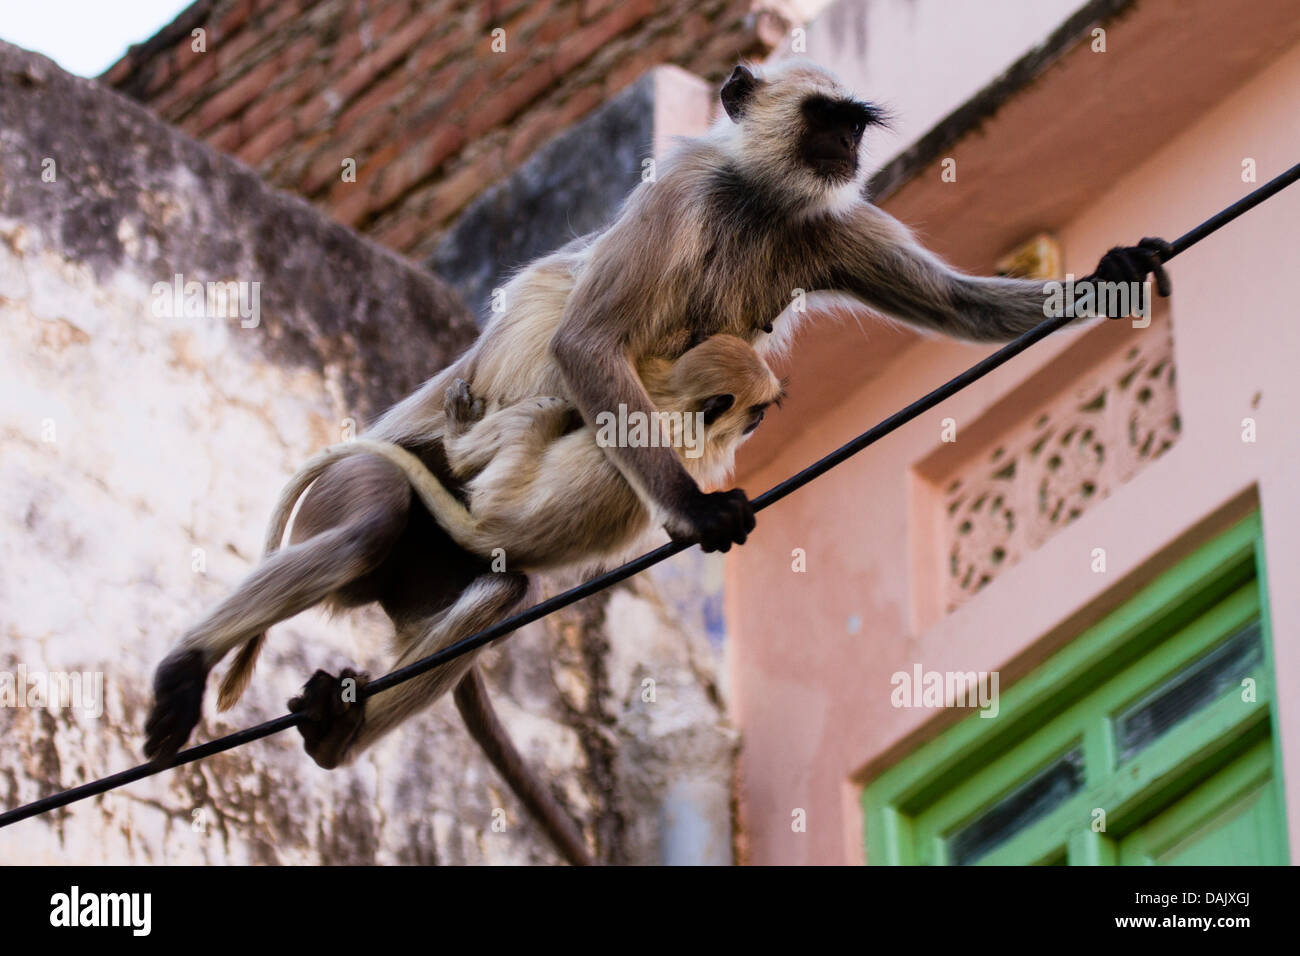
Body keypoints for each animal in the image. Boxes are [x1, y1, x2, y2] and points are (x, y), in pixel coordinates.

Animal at [144, 59, 1180, 868]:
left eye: (853, 125)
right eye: (826, 118)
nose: (847, 149)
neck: (758, 202)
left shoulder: (826, 225)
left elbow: (958, 304)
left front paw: (1115, 272)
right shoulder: (682, 194)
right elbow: (586, 344)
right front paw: (695, 509)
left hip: (437, 575)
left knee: (498, 593)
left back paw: (334, 733)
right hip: (383, 474)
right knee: (371, 518)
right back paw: (189, 663)